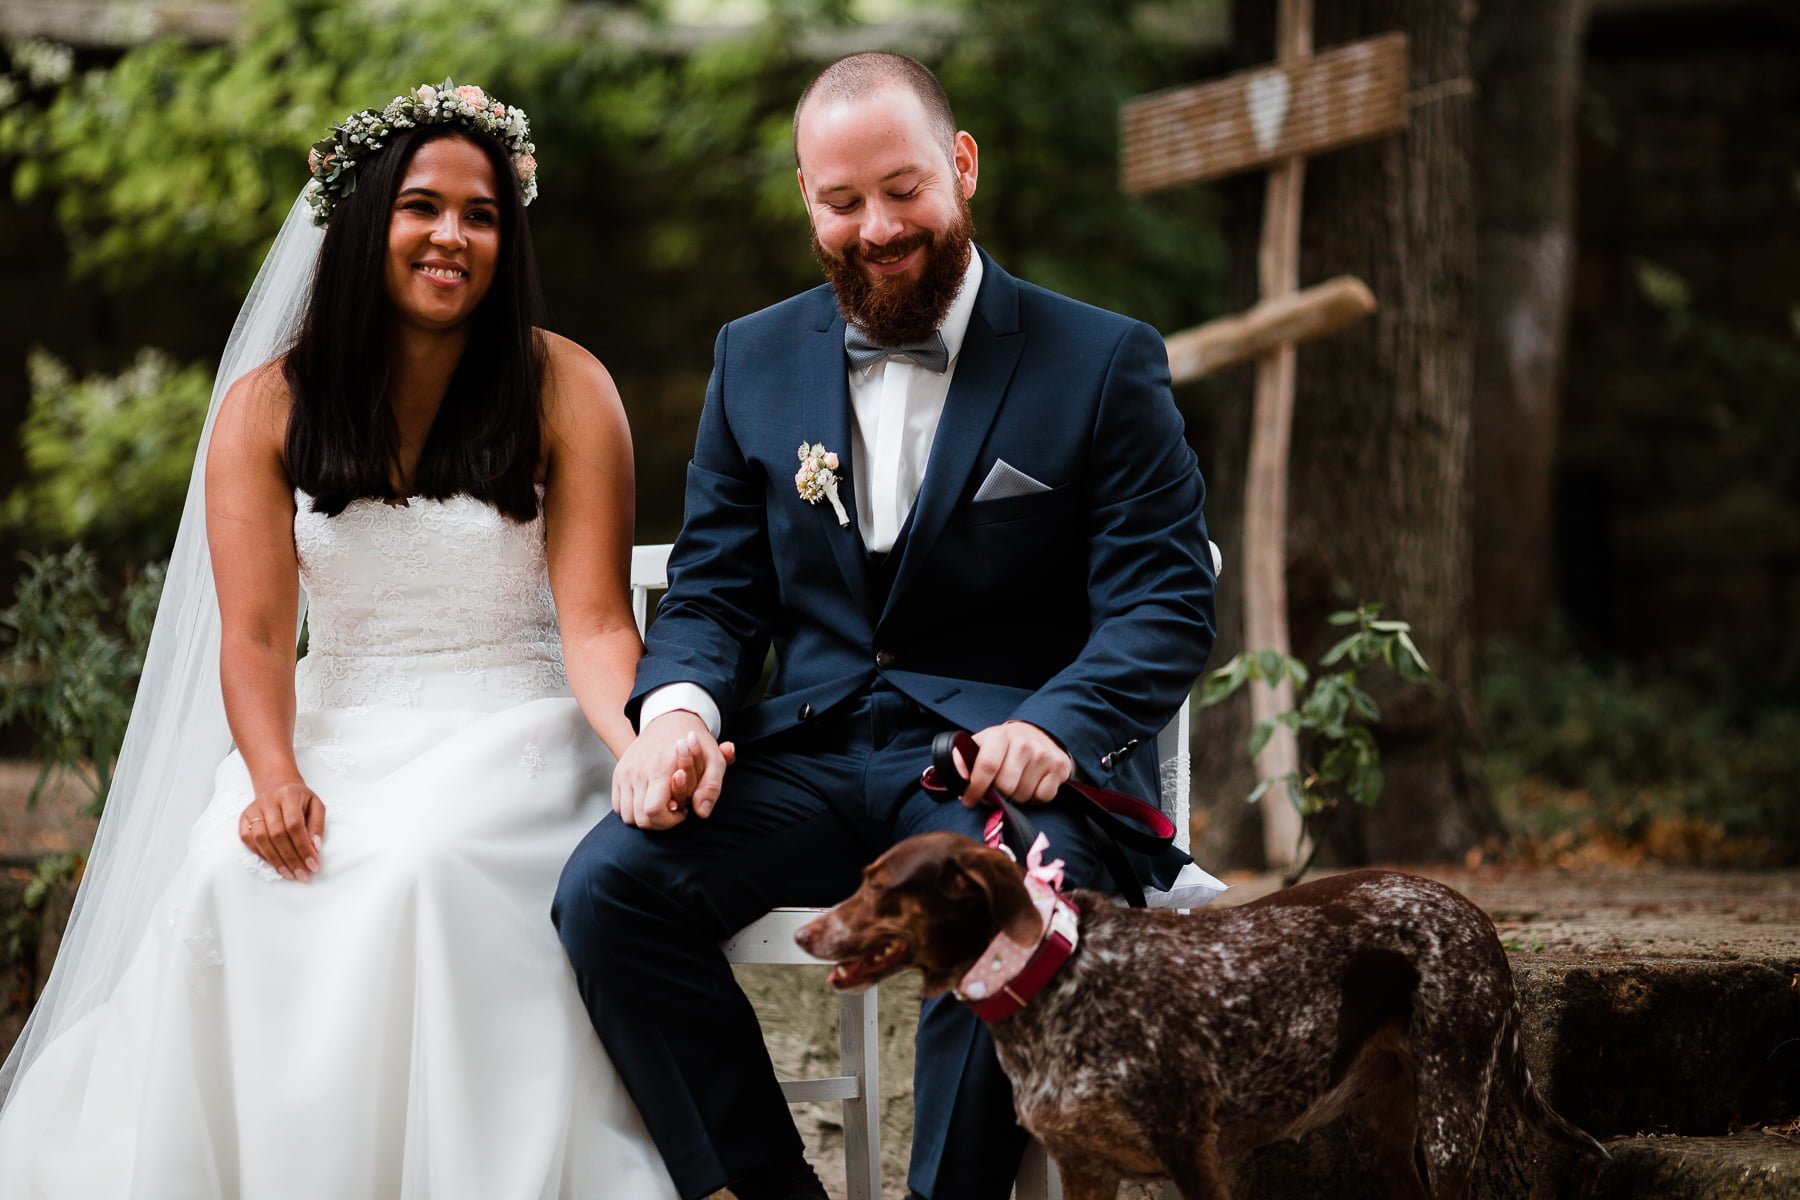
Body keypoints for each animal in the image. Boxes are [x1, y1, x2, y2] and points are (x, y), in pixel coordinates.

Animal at [795, 831, 1612, 1200]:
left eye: (882, 887)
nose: (805, 933)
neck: (1057, 981)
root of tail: (1476, 915)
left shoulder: (1195, 1157)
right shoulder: (1083, 1168)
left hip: (1450, 1114)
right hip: (1383, 1125)